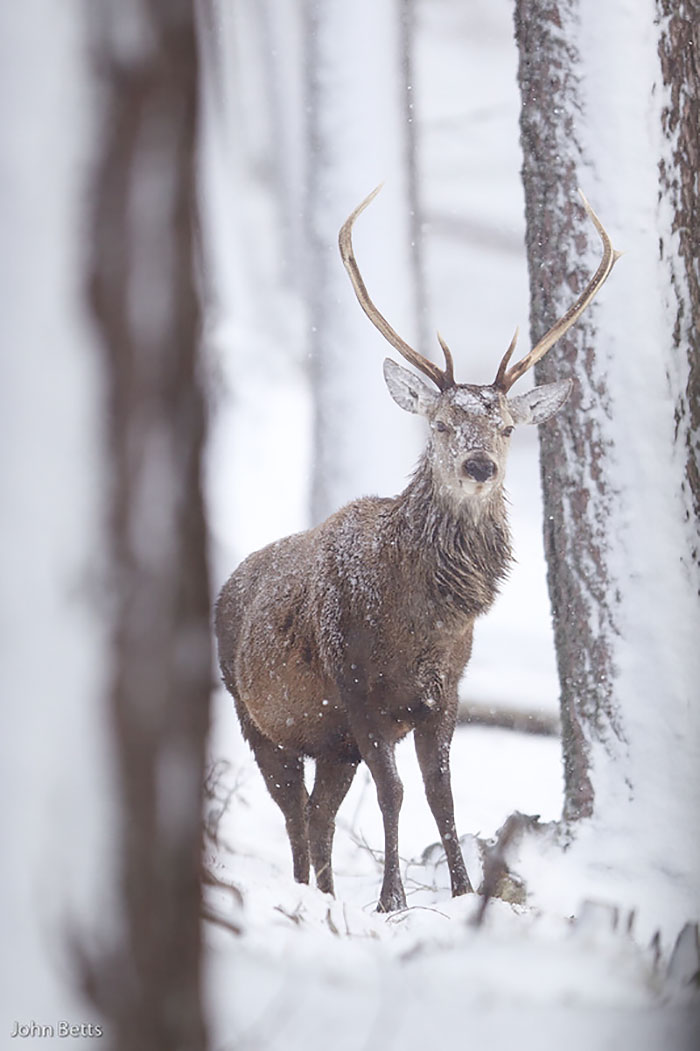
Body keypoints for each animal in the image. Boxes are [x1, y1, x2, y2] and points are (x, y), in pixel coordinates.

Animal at [215, 186, 619, 912]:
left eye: (507, 426)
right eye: (440, 424)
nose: (480, 465)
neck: (423, 624)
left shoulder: (444, 692)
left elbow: (441, 795)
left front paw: (461, 892)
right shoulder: (357, 687)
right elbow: (396, 791)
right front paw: (392, 901)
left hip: (330, 743)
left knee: (318, 812)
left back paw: (327, 896)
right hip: (255, 716)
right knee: (292, 812)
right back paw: (306, 894)